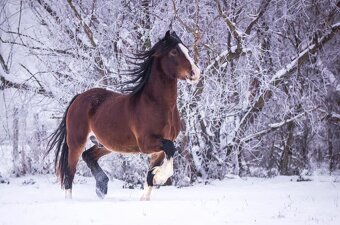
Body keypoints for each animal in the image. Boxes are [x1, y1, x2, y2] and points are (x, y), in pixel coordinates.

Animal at [45, 30, 199, 200]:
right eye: (174, 52)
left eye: (187, 50)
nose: (195, 73)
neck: (156, 104)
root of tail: (78, 97)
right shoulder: (147, 143)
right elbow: (170, 149)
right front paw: (160, 176)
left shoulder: (158, 150)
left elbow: (149, 176)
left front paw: (147, 193)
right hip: (76, 143)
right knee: (69, 174)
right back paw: (72, 200)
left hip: (106, 143)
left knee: (88, 156)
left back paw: (102, 187)